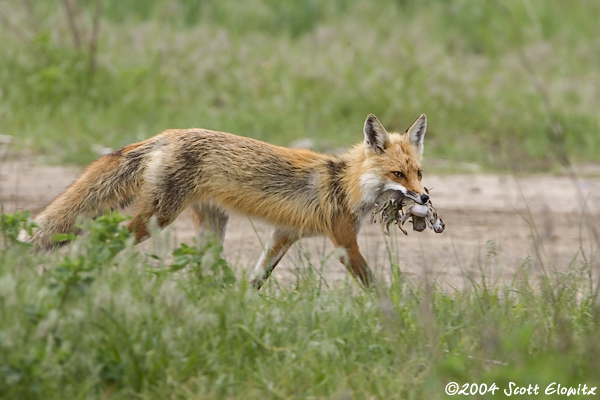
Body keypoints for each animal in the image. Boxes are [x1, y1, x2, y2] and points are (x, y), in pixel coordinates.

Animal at [30, 114, 428, 290]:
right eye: (397, 174)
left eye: (419, 172)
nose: (424, 196)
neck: (345, 184)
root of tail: (166, 134)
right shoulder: (344, 241)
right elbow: (373, 284)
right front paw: (395, 315)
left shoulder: (284, 234)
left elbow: (257, 278)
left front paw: (242, 306)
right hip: (157, 219)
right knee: (106, 241)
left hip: (211, 228)